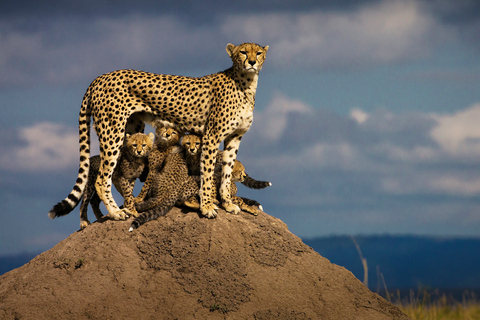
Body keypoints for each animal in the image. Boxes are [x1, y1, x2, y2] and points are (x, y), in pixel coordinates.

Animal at [52, 42, 270, 220]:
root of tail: (99, 77)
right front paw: (207, 207)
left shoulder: (234, 137)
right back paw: (116, 212)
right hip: (112, 132)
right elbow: (207, 173)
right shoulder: (211, 136)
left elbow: (226, 171)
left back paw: (131, 206)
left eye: (258, 53)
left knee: (121, 175)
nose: (251, 62)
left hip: (132, 130)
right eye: (243, 52)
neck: (246, 83)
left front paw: (228, 203)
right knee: (102, 178)